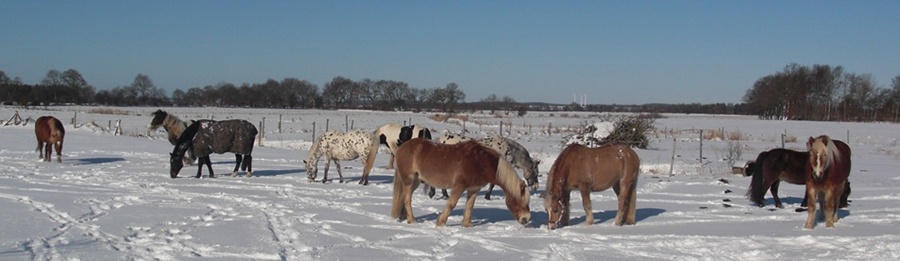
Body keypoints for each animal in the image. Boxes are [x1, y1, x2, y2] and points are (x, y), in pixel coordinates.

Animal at [390, 139, 532, 226]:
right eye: (521, 200)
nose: (526, 219)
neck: (480, 161)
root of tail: (401, 147)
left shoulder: (474, 189)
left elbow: (470, 206)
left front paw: (467, 224)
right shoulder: (459, 186)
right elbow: (451, 204)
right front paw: (441, 222)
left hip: (415, 181)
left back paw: (404, 217)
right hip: (409, 181)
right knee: (407, 199)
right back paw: (412, 220)